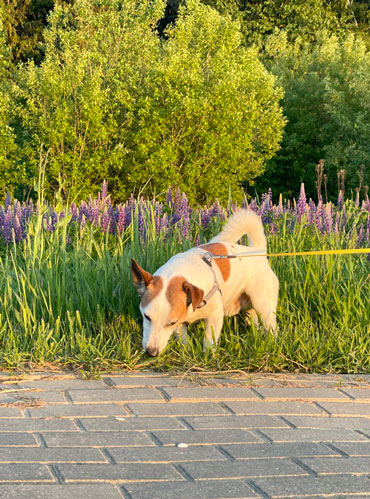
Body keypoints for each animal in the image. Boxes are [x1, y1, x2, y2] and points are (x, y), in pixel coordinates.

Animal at [132, 209, 278, 358]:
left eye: (171, 322)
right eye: (146, 317)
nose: (151, 352)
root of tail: (258, 251)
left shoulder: (215, 314)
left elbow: (209, 339)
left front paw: (207, 355)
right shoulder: (181, 320)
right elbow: (183, 337)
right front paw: (187, 349)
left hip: (264, 305)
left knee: (272, 327)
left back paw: (272, 344)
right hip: (251, 308)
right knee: (254, 320)